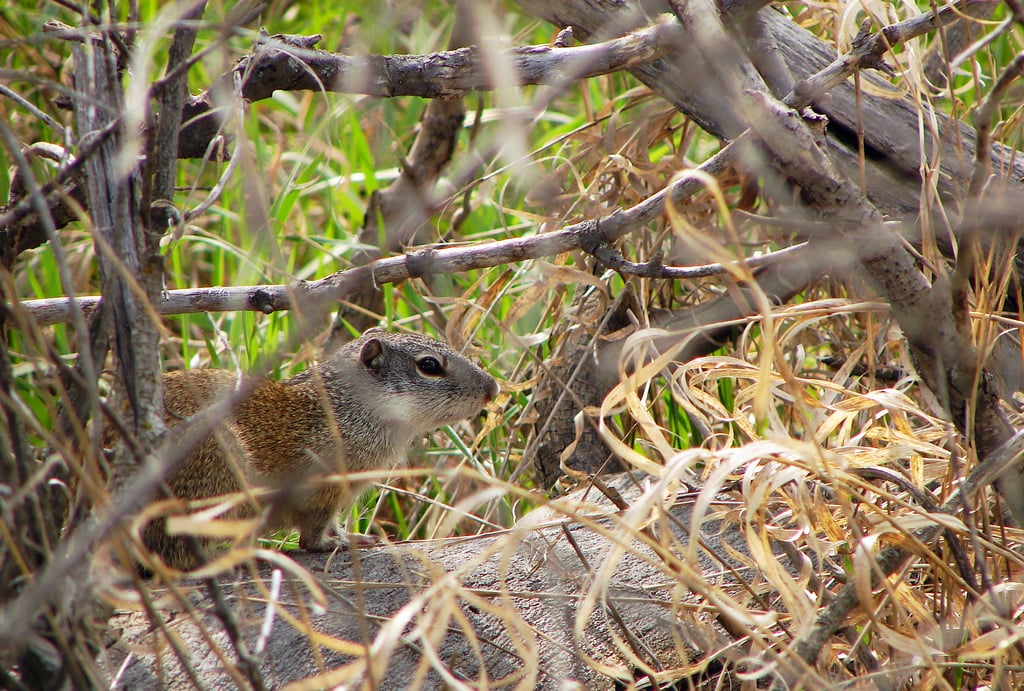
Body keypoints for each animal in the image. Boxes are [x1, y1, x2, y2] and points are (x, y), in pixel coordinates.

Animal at [142, 328, 498, 571]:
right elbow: (312, 536)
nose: (492, 388)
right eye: (430, 365)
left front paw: (353, 537)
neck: (341, 411)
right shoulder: (321, 492)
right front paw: (336, 543)